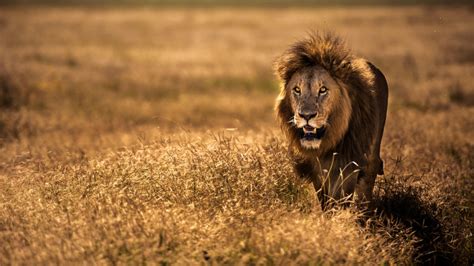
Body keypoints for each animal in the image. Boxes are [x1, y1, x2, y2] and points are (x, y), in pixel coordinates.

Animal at [274, 32, 388, 209]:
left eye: (323, 90)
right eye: (297, 90)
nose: (306, 115)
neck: (326, 144)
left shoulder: (348, 164)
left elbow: (340, 198)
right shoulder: (316, 170)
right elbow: (324, 198)